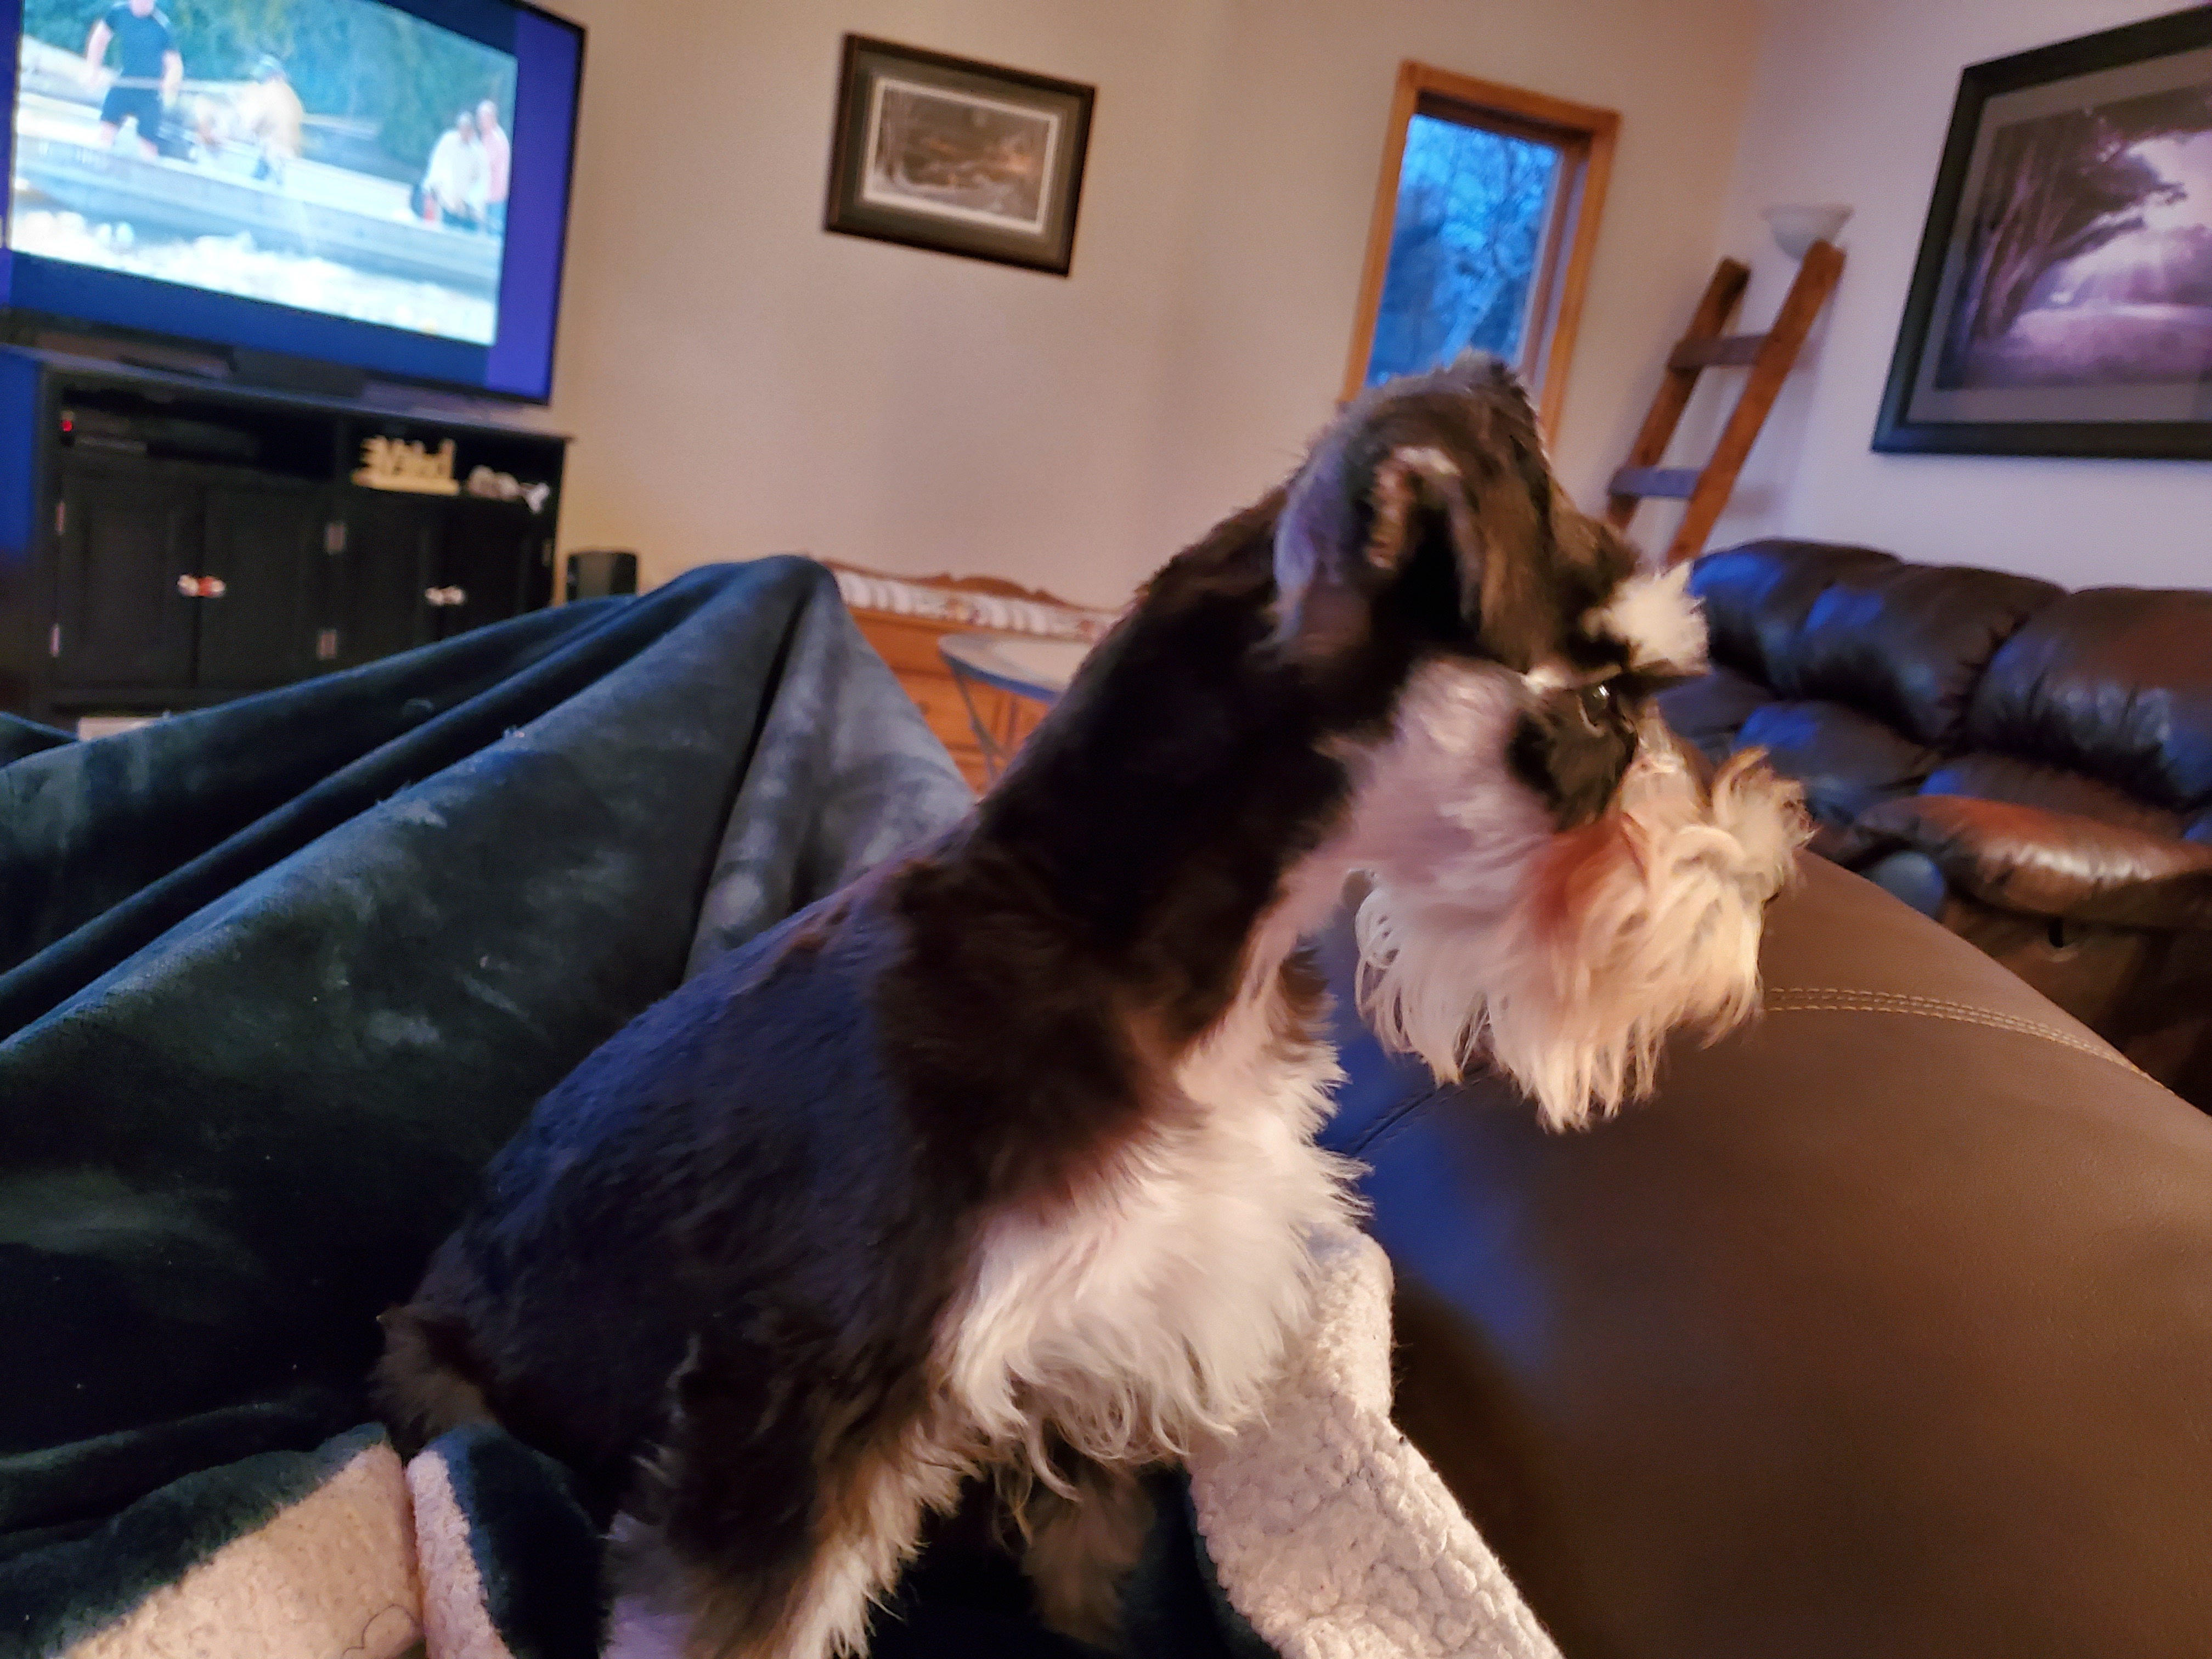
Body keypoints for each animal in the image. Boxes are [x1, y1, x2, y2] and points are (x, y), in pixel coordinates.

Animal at [375, 356, 1806, 1659]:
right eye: (1610, 701)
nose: (1767, 867)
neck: (1120, 933)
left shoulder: (1119, 1353)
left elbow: (1101, 1578)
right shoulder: (805, 1403)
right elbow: (729, 1626)